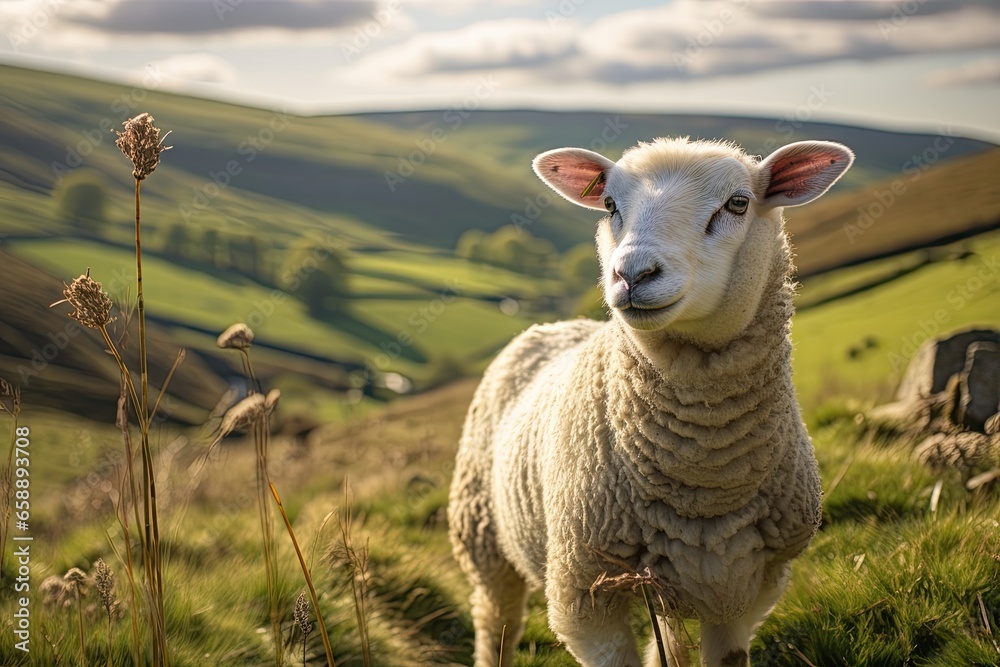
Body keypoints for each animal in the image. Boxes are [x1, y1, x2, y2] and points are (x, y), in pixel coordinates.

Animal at [448, 136, 853, 667]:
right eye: (609, 205)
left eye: (738, 203)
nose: (632, 274)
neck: (704, 472)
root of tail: (552, 327)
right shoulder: (582, 593)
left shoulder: (749, 586)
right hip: (483, 537)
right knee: (496, 622)